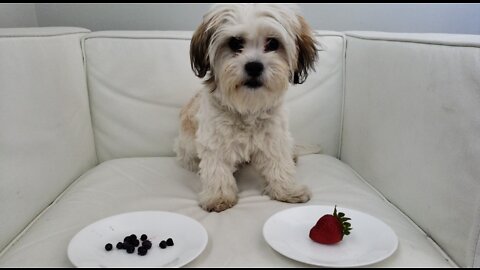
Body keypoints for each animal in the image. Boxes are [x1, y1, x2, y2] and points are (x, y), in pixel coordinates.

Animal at [173, 3, 318, 212]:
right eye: (235, 43)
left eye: (273, 43)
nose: (254, 66)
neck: (246, 108)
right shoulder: (213, 140)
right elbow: (217, 169)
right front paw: (219, 196)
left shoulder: (274, 136)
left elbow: (279, 163)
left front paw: (287, 190)